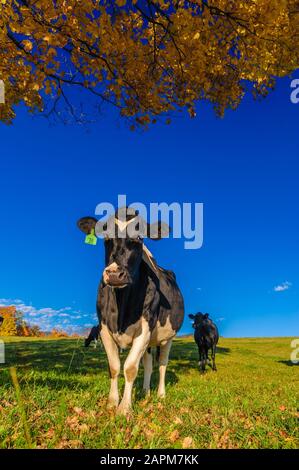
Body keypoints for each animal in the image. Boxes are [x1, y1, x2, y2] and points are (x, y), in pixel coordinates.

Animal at [77, 207, 185, 416]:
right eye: (105, 237)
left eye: (139, 238)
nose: (114, 274)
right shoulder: (104, 327)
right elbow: (114, 367)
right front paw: (112, 402)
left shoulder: (145, 327)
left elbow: (130, 368)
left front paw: (125, 408)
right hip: (149, 343)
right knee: (149, 364)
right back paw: (145, 392)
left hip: (167, 338)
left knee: (162, 364)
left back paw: (160, 394)